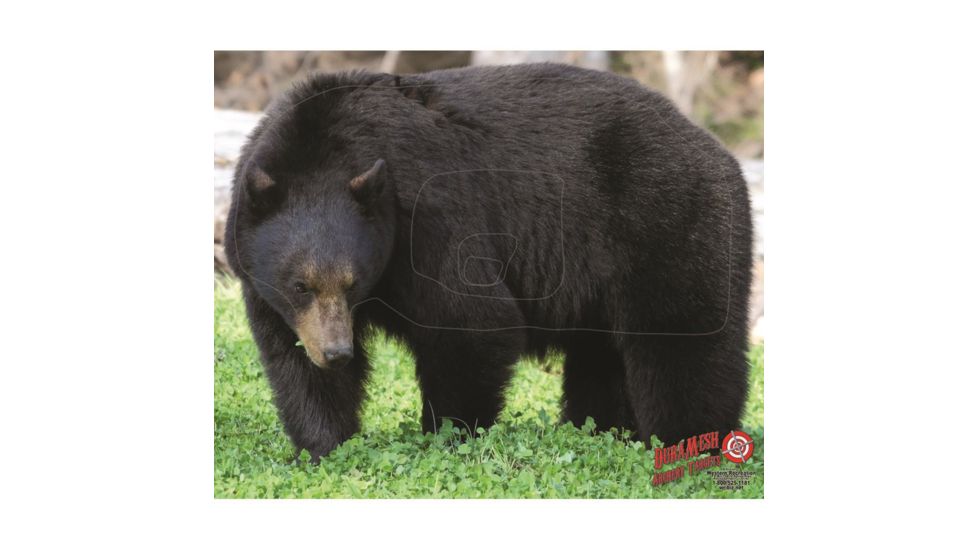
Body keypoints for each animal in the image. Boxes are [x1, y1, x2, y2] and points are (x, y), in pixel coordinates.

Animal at [224, 63, 753, 461]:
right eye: (300, 285)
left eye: (352, 283)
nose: (337, 352)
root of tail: (719, 150)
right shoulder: (268, 284)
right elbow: (291, 358)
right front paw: (322, 445)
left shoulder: (432, 215)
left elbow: (471, 322)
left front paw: (448, 433)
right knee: (601, 355)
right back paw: (598, 429)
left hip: (666, 221)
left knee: (682, 341)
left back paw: (688, 440)